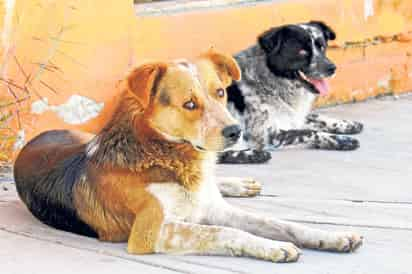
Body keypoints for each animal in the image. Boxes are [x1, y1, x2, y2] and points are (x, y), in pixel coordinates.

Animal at [12, 50, 362, 262]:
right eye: (189, 104)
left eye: (220, 93)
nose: (236, 131)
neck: (170, 159)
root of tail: (35, 138)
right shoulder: (152, 232)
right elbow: (225, 232)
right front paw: (273, 247)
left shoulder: (215, 209)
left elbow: (277, 222)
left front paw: (331, 236)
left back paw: (238, 183)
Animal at [220, 21, 362, 164]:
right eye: (302, 51)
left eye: (322, 47)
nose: (332, 68)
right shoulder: (267, 134)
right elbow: (308, 132)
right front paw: (341, 139)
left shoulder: (293, 116)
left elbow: (314, 117)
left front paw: (347, 124)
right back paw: (253, 154)